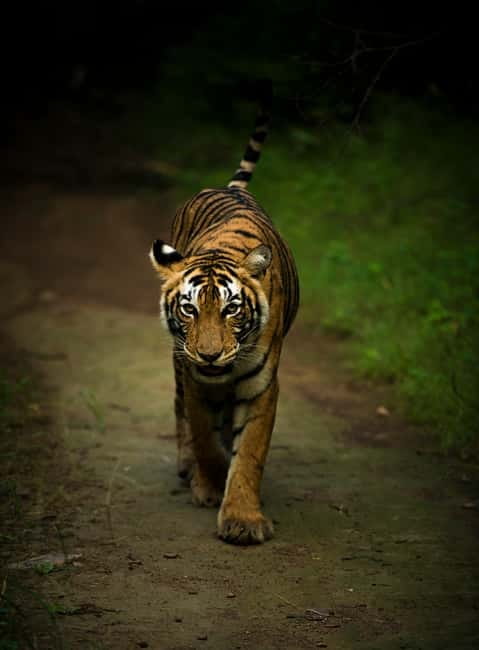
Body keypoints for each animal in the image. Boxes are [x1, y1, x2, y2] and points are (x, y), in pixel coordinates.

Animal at [149, 90, 299, 545]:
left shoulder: (261, 385)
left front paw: (243, 519)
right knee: (180, 408)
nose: (210, 355)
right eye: (189, 308)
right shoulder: (196, 378)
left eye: (232, 309)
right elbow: (203, 435)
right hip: (178, 362)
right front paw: (210, 484)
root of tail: (225, 186)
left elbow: (249, 452)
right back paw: (188, 468)